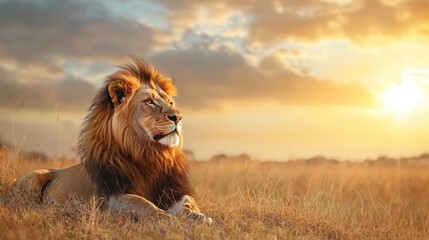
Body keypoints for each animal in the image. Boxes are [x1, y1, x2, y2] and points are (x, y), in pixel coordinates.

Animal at [12, 57, 212, 225]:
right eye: (150, 102)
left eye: (170, 102)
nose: (178, 117)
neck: (150, 154)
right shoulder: (112, 198)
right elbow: (145, 205)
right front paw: (174, 221)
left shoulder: (171, 190)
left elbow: (188, 201)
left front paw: (199, 217)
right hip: (34, 178)